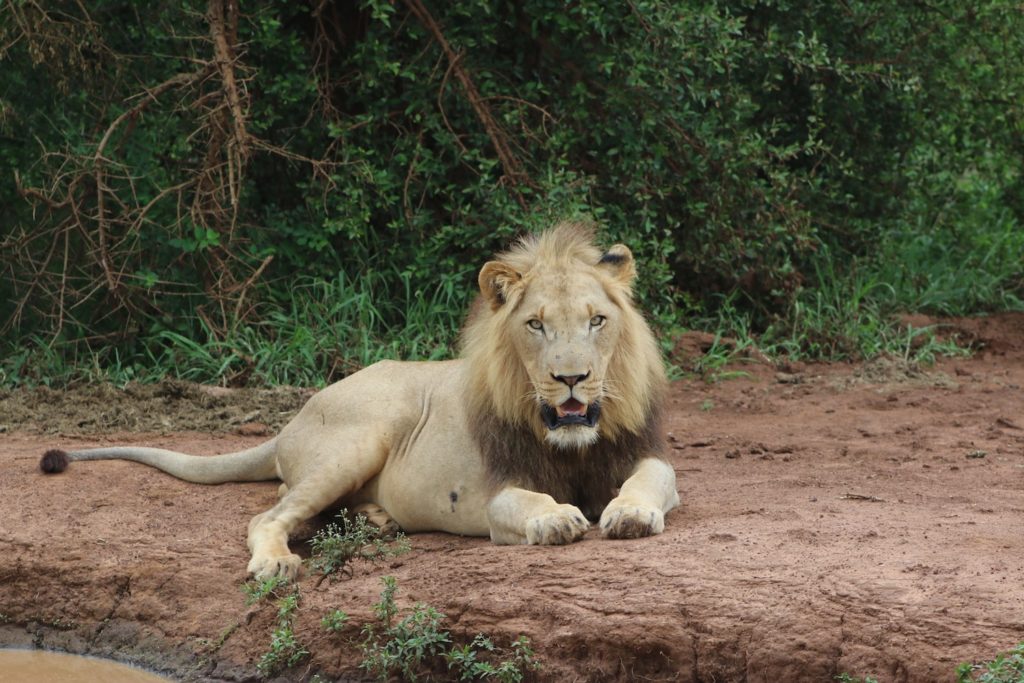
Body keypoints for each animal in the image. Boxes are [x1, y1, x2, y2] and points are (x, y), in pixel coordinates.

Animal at [39, 222, 679, 581]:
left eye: (596, 321)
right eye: (536, 325)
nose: (572, 379)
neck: (570, 442)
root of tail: (295, 416)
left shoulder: (638, 452)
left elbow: (654, 477)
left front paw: (628, 513)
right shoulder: (498, 489)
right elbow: (526, 502)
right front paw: (556, 517)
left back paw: (373, 518)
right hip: (358, 440)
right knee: (268, 513)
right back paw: (276, 561)